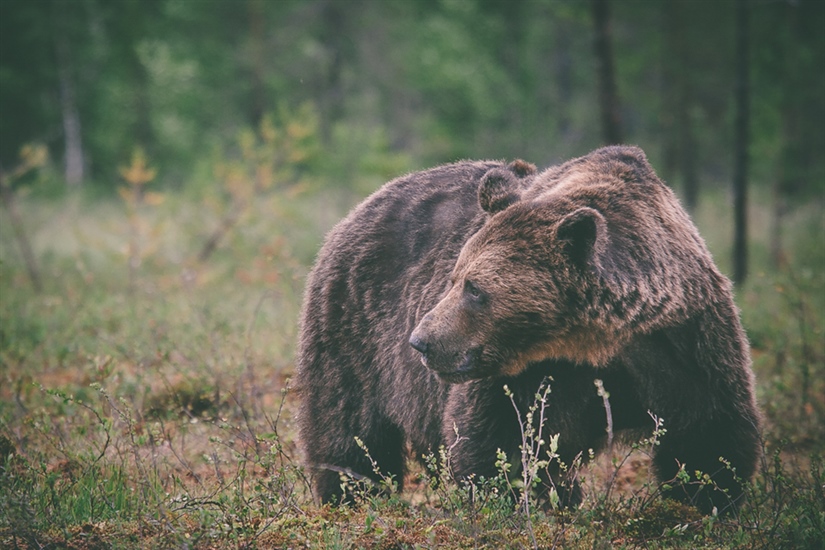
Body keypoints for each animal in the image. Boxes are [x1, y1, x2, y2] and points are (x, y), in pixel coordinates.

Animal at [296, 147, 760, 516]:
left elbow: (708, 434)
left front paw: (707, 501)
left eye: (474, 288)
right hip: (352, 328)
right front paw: (511, 500)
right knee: (350, 429)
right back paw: (351, 496)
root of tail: (362, 206)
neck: (594, 339)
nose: (420, 342)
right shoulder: (527, 374)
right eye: (453, 278)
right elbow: (500, 443)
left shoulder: (682, 339)